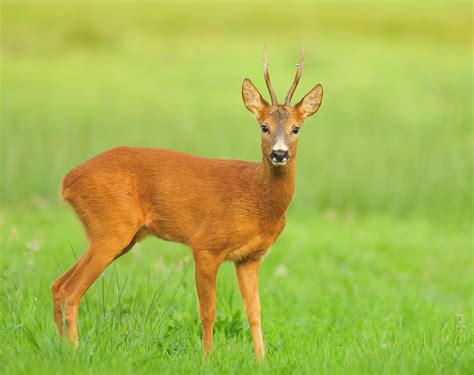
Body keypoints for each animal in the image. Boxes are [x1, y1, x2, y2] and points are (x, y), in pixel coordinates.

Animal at [51, 47, 324, 362]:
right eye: (264, 127)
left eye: (296, 128)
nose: (279, 154)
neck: (255, 197)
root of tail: (67, 182)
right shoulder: (205, 245)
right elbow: (208, 311)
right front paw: (207, 359)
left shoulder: (250, 257)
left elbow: (255, 312)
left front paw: (261, 360)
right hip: (111, 228)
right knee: (70, 290)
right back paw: (74, 352)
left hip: (117, 236)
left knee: (57, 285)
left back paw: (62, 348)